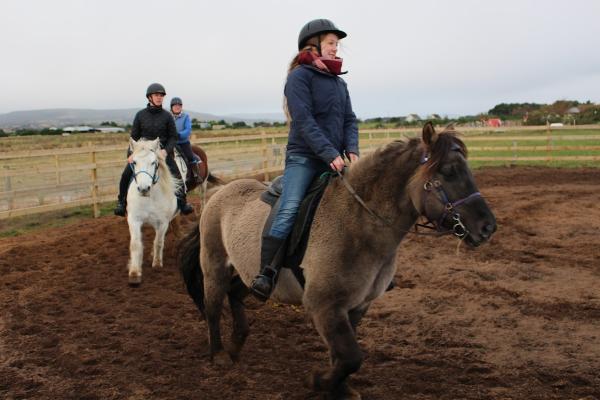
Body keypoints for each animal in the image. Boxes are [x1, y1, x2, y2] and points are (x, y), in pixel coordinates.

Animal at [126, 139, 180, 286]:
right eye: (134, 162)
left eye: (153, 162)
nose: (144, 188)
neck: (149, 198)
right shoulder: (134, 220)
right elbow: (135, 244)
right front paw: (134, 273)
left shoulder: (163, 222)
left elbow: (159, 242)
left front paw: (157, 264)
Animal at [177, 123, 496, 398]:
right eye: (448, 171)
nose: (488, 227)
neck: (357, 223)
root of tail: (221, 192)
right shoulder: (324, 306)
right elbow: (351, 356)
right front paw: (318, 382)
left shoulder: (356, 306)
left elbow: (343, 356)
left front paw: (339, 389)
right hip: (215, 267)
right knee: (213, 306)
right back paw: (219, 354)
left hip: (250, 274)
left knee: (236, 294)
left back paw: (236, 343)